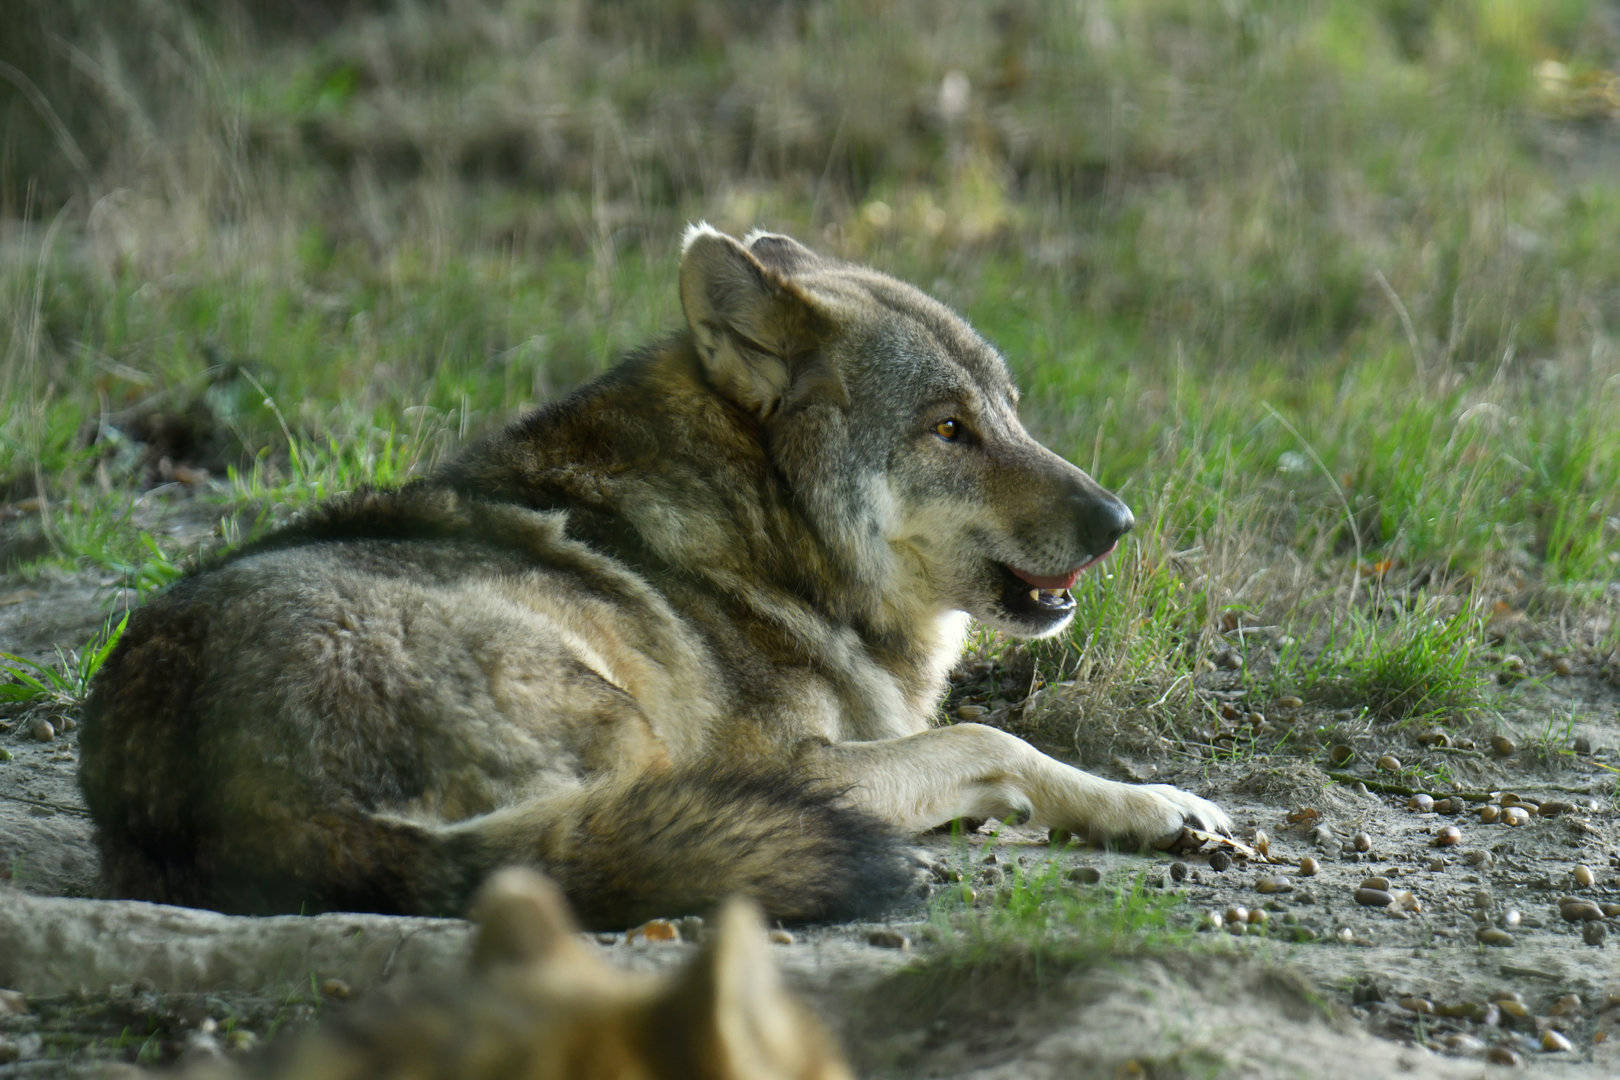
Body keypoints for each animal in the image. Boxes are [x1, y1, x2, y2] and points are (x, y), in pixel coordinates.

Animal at [79, 225, 1230, 927]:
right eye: (949, 429)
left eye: (1011, 415)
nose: (1118, 523)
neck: (767, 533)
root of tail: (221, 799)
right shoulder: (800, 761)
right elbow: (996, 739)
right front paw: (1148, 801)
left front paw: (1156, 810)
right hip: (634, 734)